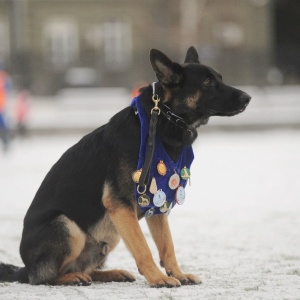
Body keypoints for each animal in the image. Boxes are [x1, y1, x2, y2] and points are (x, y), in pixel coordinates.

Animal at [0, 47, 251, 288]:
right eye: (207, 82)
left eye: (219, 78)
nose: (248, 97)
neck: (162, 120)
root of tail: (26, 268)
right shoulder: (120, 204)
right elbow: (143, 247)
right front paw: (158, 279)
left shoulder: (156, 205)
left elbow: (167, 246)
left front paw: (177, 274)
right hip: (68, 226)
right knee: (43, 278)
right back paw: (70, 278)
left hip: (110, 232)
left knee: (86, 269)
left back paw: (110, 273)